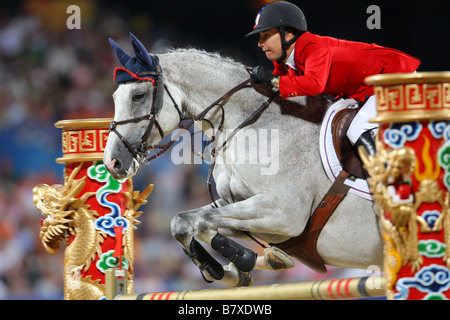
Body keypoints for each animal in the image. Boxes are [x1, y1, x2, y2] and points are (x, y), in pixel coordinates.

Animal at [103, 33, 384, 288]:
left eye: (138, 95)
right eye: (114, 97)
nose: (112, 163)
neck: (254, 124)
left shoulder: (284, 214)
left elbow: (202, 222)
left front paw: (243, 260)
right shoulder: (237, 205)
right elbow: (184, 222)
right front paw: (233, 267)